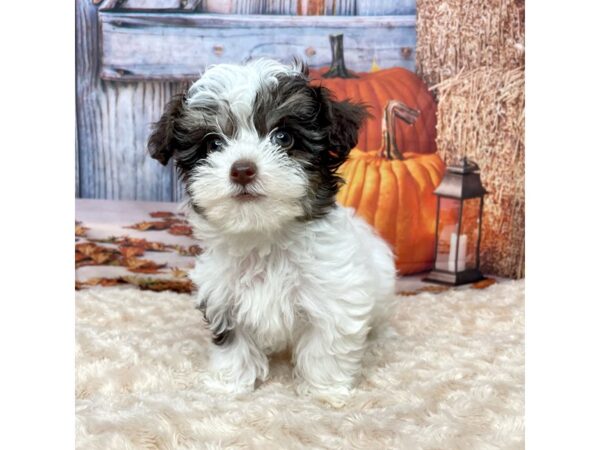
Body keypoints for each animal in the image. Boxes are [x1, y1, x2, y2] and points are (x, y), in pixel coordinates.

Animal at [148, 59, 396, 404]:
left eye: (283, 138)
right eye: (213, 143)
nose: (242, 169)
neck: (265, 237)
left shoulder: (334, 295)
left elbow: (325, 347)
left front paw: (324, 391)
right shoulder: (224, 298)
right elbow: (234, 344)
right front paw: (229, 384)